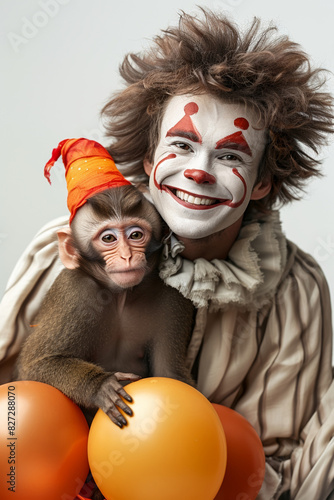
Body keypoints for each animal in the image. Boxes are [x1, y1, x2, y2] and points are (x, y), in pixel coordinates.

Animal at [15, 186, 194, 428]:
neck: (121, 295)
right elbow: (35, 364)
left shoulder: (173, 298)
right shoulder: (73, 291)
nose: (127, 256)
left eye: (136, 235)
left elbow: (170, 372)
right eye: (108, 238)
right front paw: (101, 385)